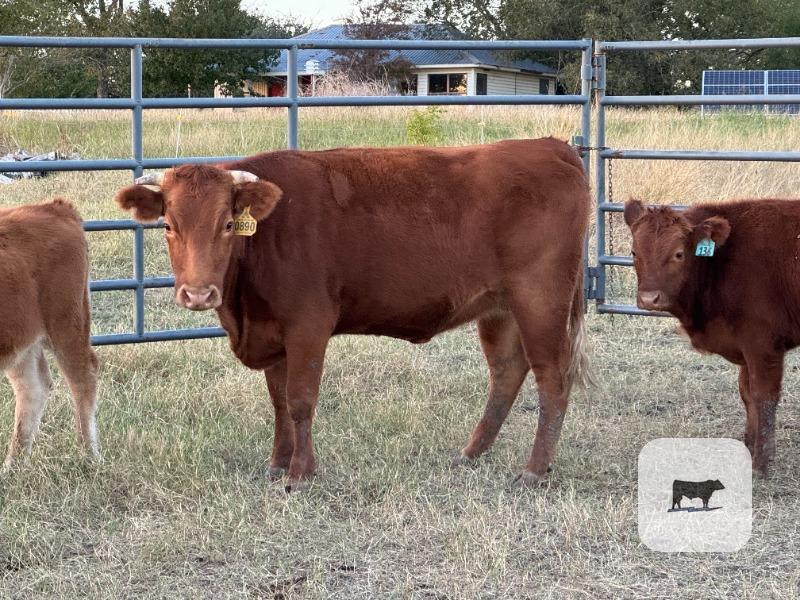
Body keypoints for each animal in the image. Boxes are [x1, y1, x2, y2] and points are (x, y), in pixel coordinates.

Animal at [1, 199, 99, 470]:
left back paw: (89, 454)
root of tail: (54, 207)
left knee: (83, 379)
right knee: (33, 387)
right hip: (20, 343)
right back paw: (13, 466)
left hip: (68, 326)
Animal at [115, 137, 591, 488]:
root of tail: (550, 147)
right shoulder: (273, 330)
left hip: (541, 299)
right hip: (498, 308)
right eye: (169, 225)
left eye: (228, 224)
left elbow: (300, 400)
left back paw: (533, 470)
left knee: (552, 378)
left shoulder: (308, 324)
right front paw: (277, 462)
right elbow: (278, 401)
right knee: (507, 372)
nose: (198, 294)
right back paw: (471, 453)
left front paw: (300, 473)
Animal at [625, 198, 800, 476]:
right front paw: (748, 448)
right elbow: (747, 394)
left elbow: (764, 397)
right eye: (634, 252)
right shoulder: (745, 346)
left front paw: (762, 463)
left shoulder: (763, 345)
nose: (649, 299)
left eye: (679, 254)